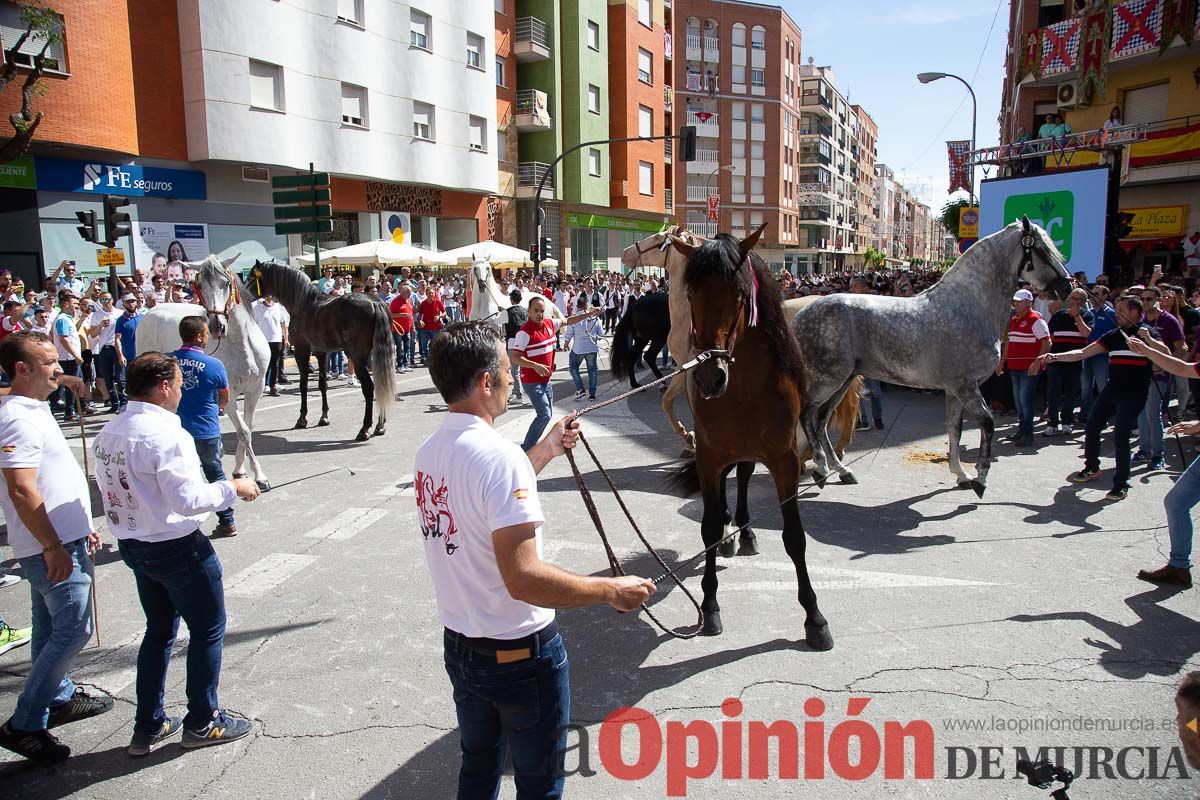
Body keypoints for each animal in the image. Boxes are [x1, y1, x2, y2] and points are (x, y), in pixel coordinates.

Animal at [135, 253, 272, 489]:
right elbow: (243, 431)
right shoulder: (228, 393)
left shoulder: (256, 388)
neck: (241, 344)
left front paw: (241, 469)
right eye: (199, 285)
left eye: (225, 283)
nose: (217, 326)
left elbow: (248, 427)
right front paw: (259, 476)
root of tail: (151, 311)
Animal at [246, 261, 396, 443]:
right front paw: (324, 417)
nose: (242, 293)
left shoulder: (302, 350)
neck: (303, 303)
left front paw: (302, 419)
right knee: (381, 384)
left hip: (358, 357)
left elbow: (303, 384)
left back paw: (365, 429)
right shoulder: (321, 352)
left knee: (369, 387)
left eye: (251, 276)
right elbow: (322, 383)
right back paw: (380, 425)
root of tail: (375, 303)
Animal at [672, 225, 830, 652]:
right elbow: (709, 528)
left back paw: (744, 531)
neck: (743, 388)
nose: (710, 377)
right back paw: (731, 532)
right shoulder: (709, 456)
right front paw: (710, 607)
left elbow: (795, 537)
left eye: (741, 296)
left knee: (742, 477)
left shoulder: (785, 459)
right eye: (691, 295)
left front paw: (814, 617)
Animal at [792, 219, 1075, 494]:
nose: (1067, 286)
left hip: (843, 380)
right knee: (807, 414)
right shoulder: (965, 386)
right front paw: (980, 479)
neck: (968, 307)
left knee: (821, 419)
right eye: (1041, 249)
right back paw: (821, 468)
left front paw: (961, 475)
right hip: (829, 379)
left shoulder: (955, 390)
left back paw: (840, 470)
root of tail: (801, 315)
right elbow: (987, 423)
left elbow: (955, 430)